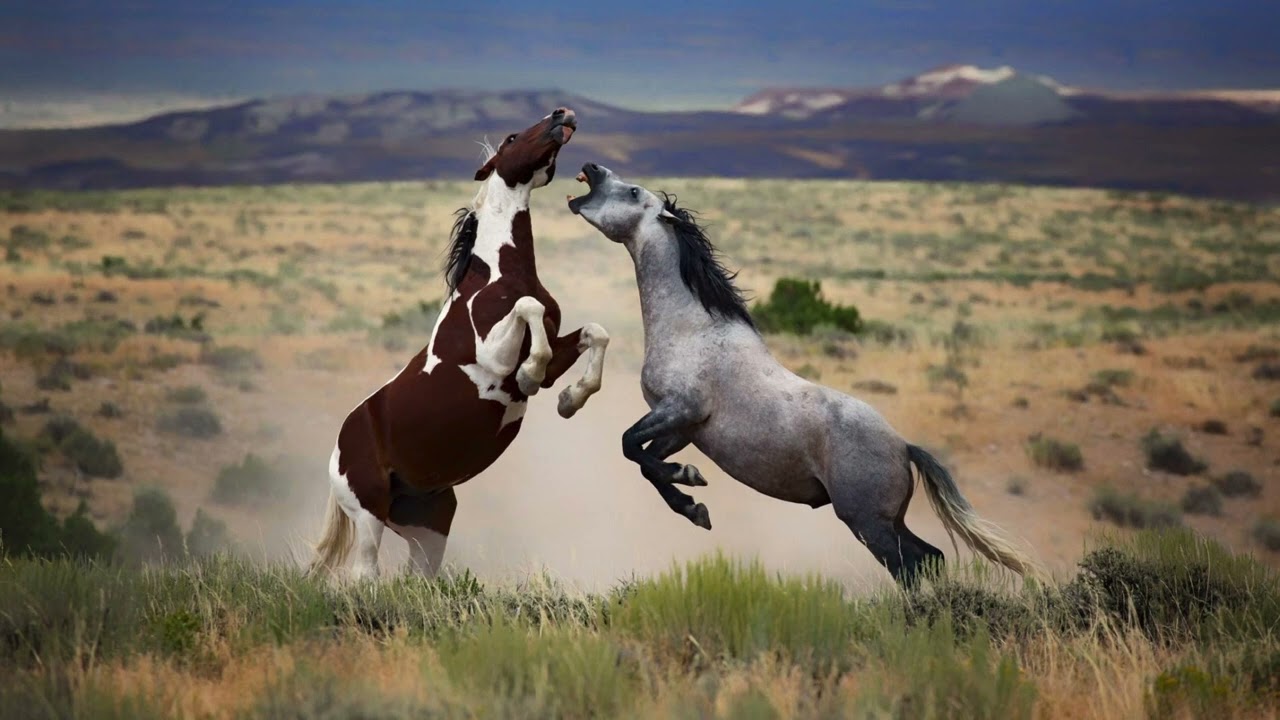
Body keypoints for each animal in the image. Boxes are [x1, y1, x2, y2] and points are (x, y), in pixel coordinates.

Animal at [309, 109, 610, 580]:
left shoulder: (558, 345)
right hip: (369, 512)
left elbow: (595, 333)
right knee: (364, 575)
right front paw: (531, 374)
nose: (563, 114)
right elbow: (528, 313)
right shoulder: (493, 356)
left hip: (430, 524)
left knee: (418, 576)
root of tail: (337, 453)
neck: (501, 275)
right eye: (512, 137)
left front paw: (569, 399)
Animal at [566, 163, 1039, 585]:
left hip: (868, 523)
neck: (692, 328)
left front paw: (689, 480)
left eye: (633, 192)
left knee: (909, 567)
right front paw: (694, 506)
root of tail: (904, 446)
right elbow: (647, 464)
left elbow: (629, 446)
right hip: (887, 522)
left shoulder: (679, 410)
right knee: (931, 558)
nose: (592, 168)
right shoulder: (683, 429)